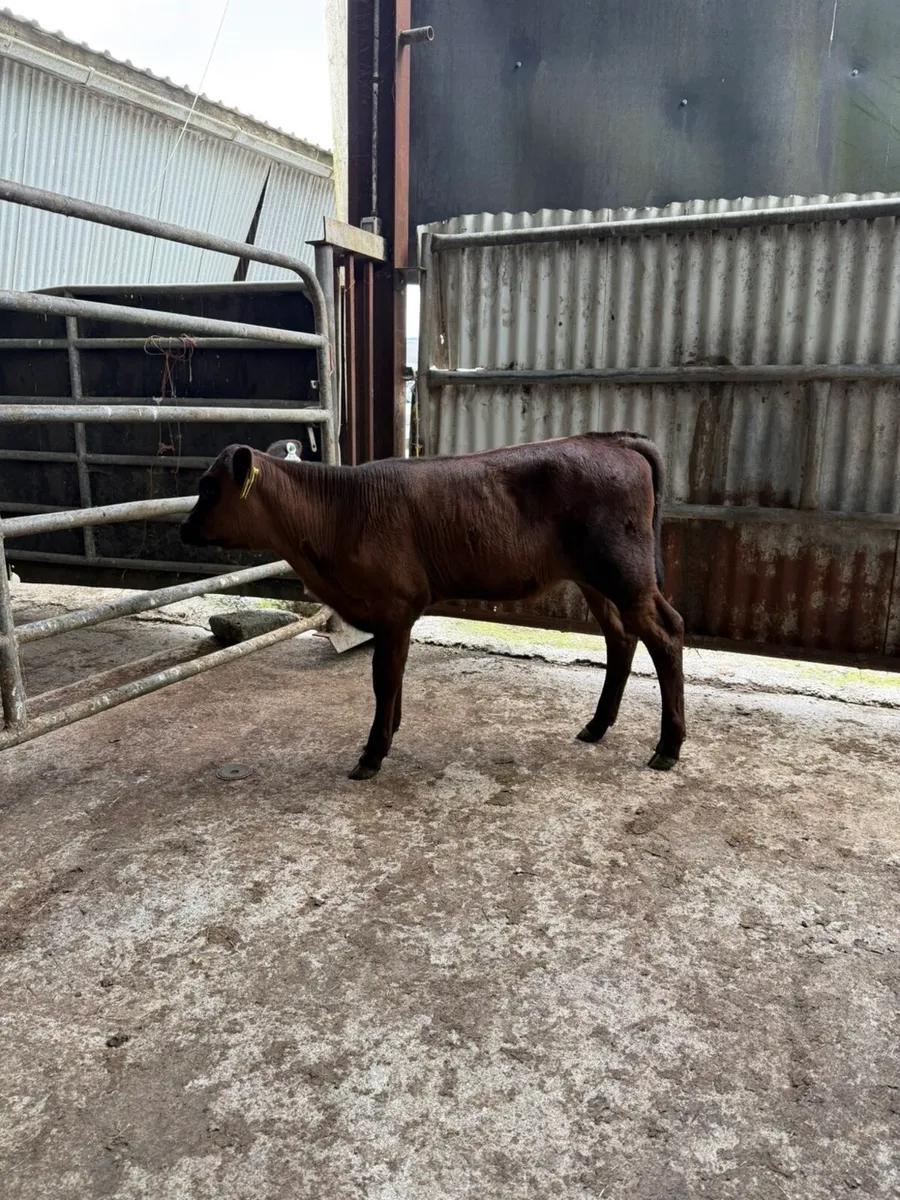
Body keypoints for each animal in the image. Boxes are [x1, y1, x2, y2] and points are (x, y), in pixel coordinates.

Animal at [181, 433, 685, 781]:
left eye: (210, 488)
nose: (183, 529)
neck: (339, 514)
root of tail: (608, 439)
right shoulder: (396, 615)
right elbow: (396, 674)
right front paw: (392, 729)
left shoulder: (393, 605)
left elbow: (384, 678)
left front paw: (372, 752)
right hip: (596, 579)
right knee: (621, 638)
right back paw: (597, 726)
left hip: (626, 575)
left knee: (667, 634)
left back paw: (668, 747)